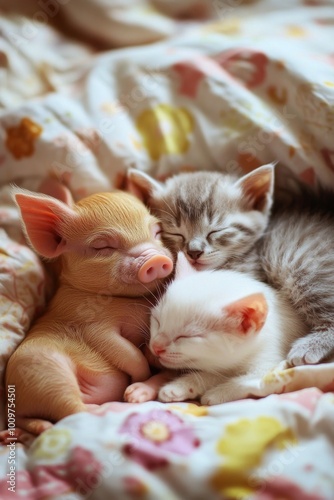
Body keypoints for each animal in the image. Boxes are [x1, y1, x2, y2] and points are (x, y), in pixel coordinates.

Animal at [150, 254, 306, 406]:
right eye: (157, 321)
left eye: (186, 336)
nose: (156, 346)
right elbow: (216, 374)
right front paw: (180, 386)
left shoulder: (272, 362)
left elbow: (248, 380)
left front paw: (217, 394)